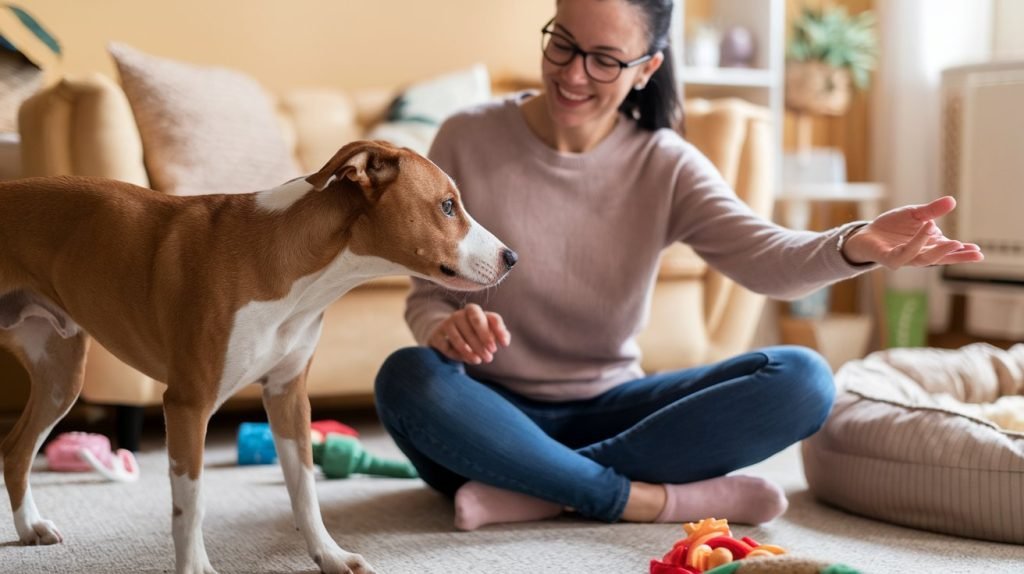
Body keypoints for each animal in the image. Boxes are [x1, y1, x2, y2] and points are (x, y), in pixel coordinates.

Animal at [0, 140, 512, 572]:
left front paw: (328, 555)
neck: (300, 273)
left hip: (61, 377)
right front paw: (195, 569)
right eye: (448, 206)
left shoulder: (288, 395)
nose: (512, 258)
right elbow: (191, 501)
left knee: (16, 448)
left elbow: (304, 489)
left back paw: (29, 527)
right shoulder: (187, 404)